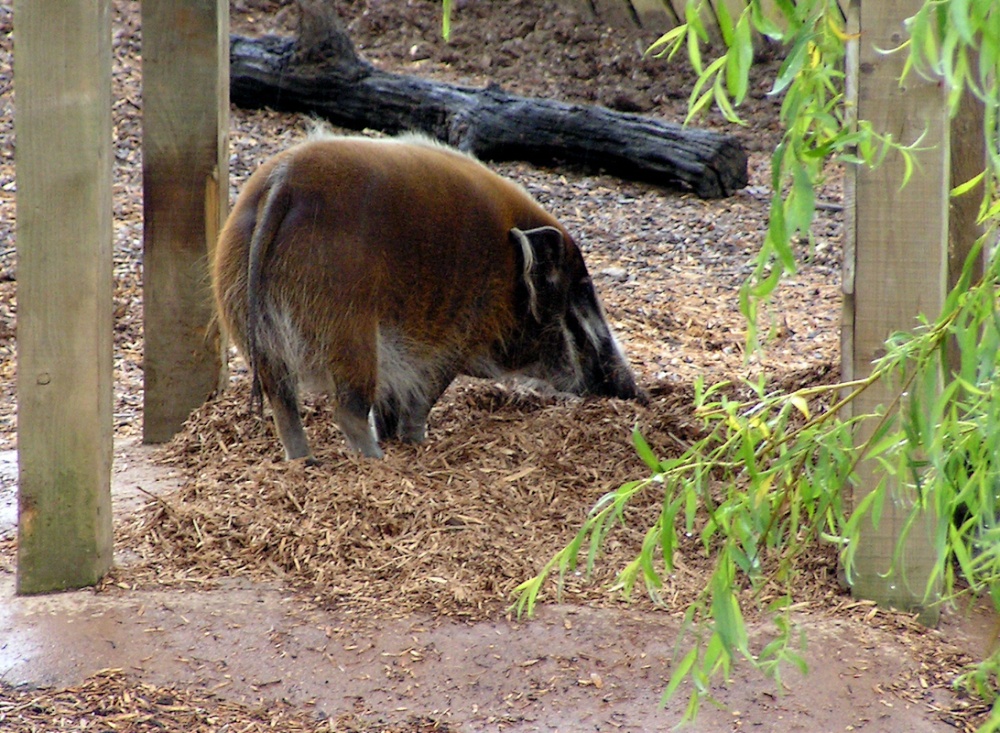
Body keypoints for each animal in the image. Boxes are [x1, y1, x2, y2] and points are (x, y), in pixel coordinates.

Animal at [211, 132, 644, 462]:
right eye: (581, 293)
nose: (635, 392)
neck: (507, 276)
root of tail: (282, 185)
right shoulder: (449, 346)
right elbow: (420, 403)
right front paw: (415, 444)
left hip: (257, 337)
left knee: (284, 406)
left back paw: (305, 463)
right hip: (348, 334)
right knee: (347, 409)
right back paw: (375, 461)